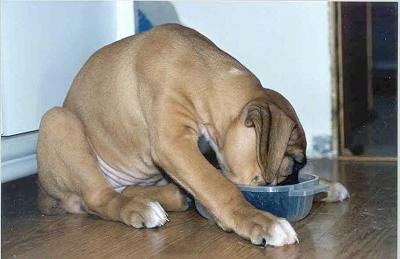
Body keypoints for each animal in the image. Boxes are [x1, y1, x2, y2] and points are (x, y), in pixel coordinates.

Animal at [36, 23, 346, 248]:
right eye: (293, 163)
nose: (294, 184)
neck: (203, 69)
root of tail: (45, 195)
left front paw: (327, 186)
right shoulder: (173, 144)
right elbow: (219, 186)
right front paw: (260, 221)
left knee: (128, 190)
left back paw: (169, 196)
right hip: (58, 122)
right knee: (99, 198)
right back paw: (140, 208)